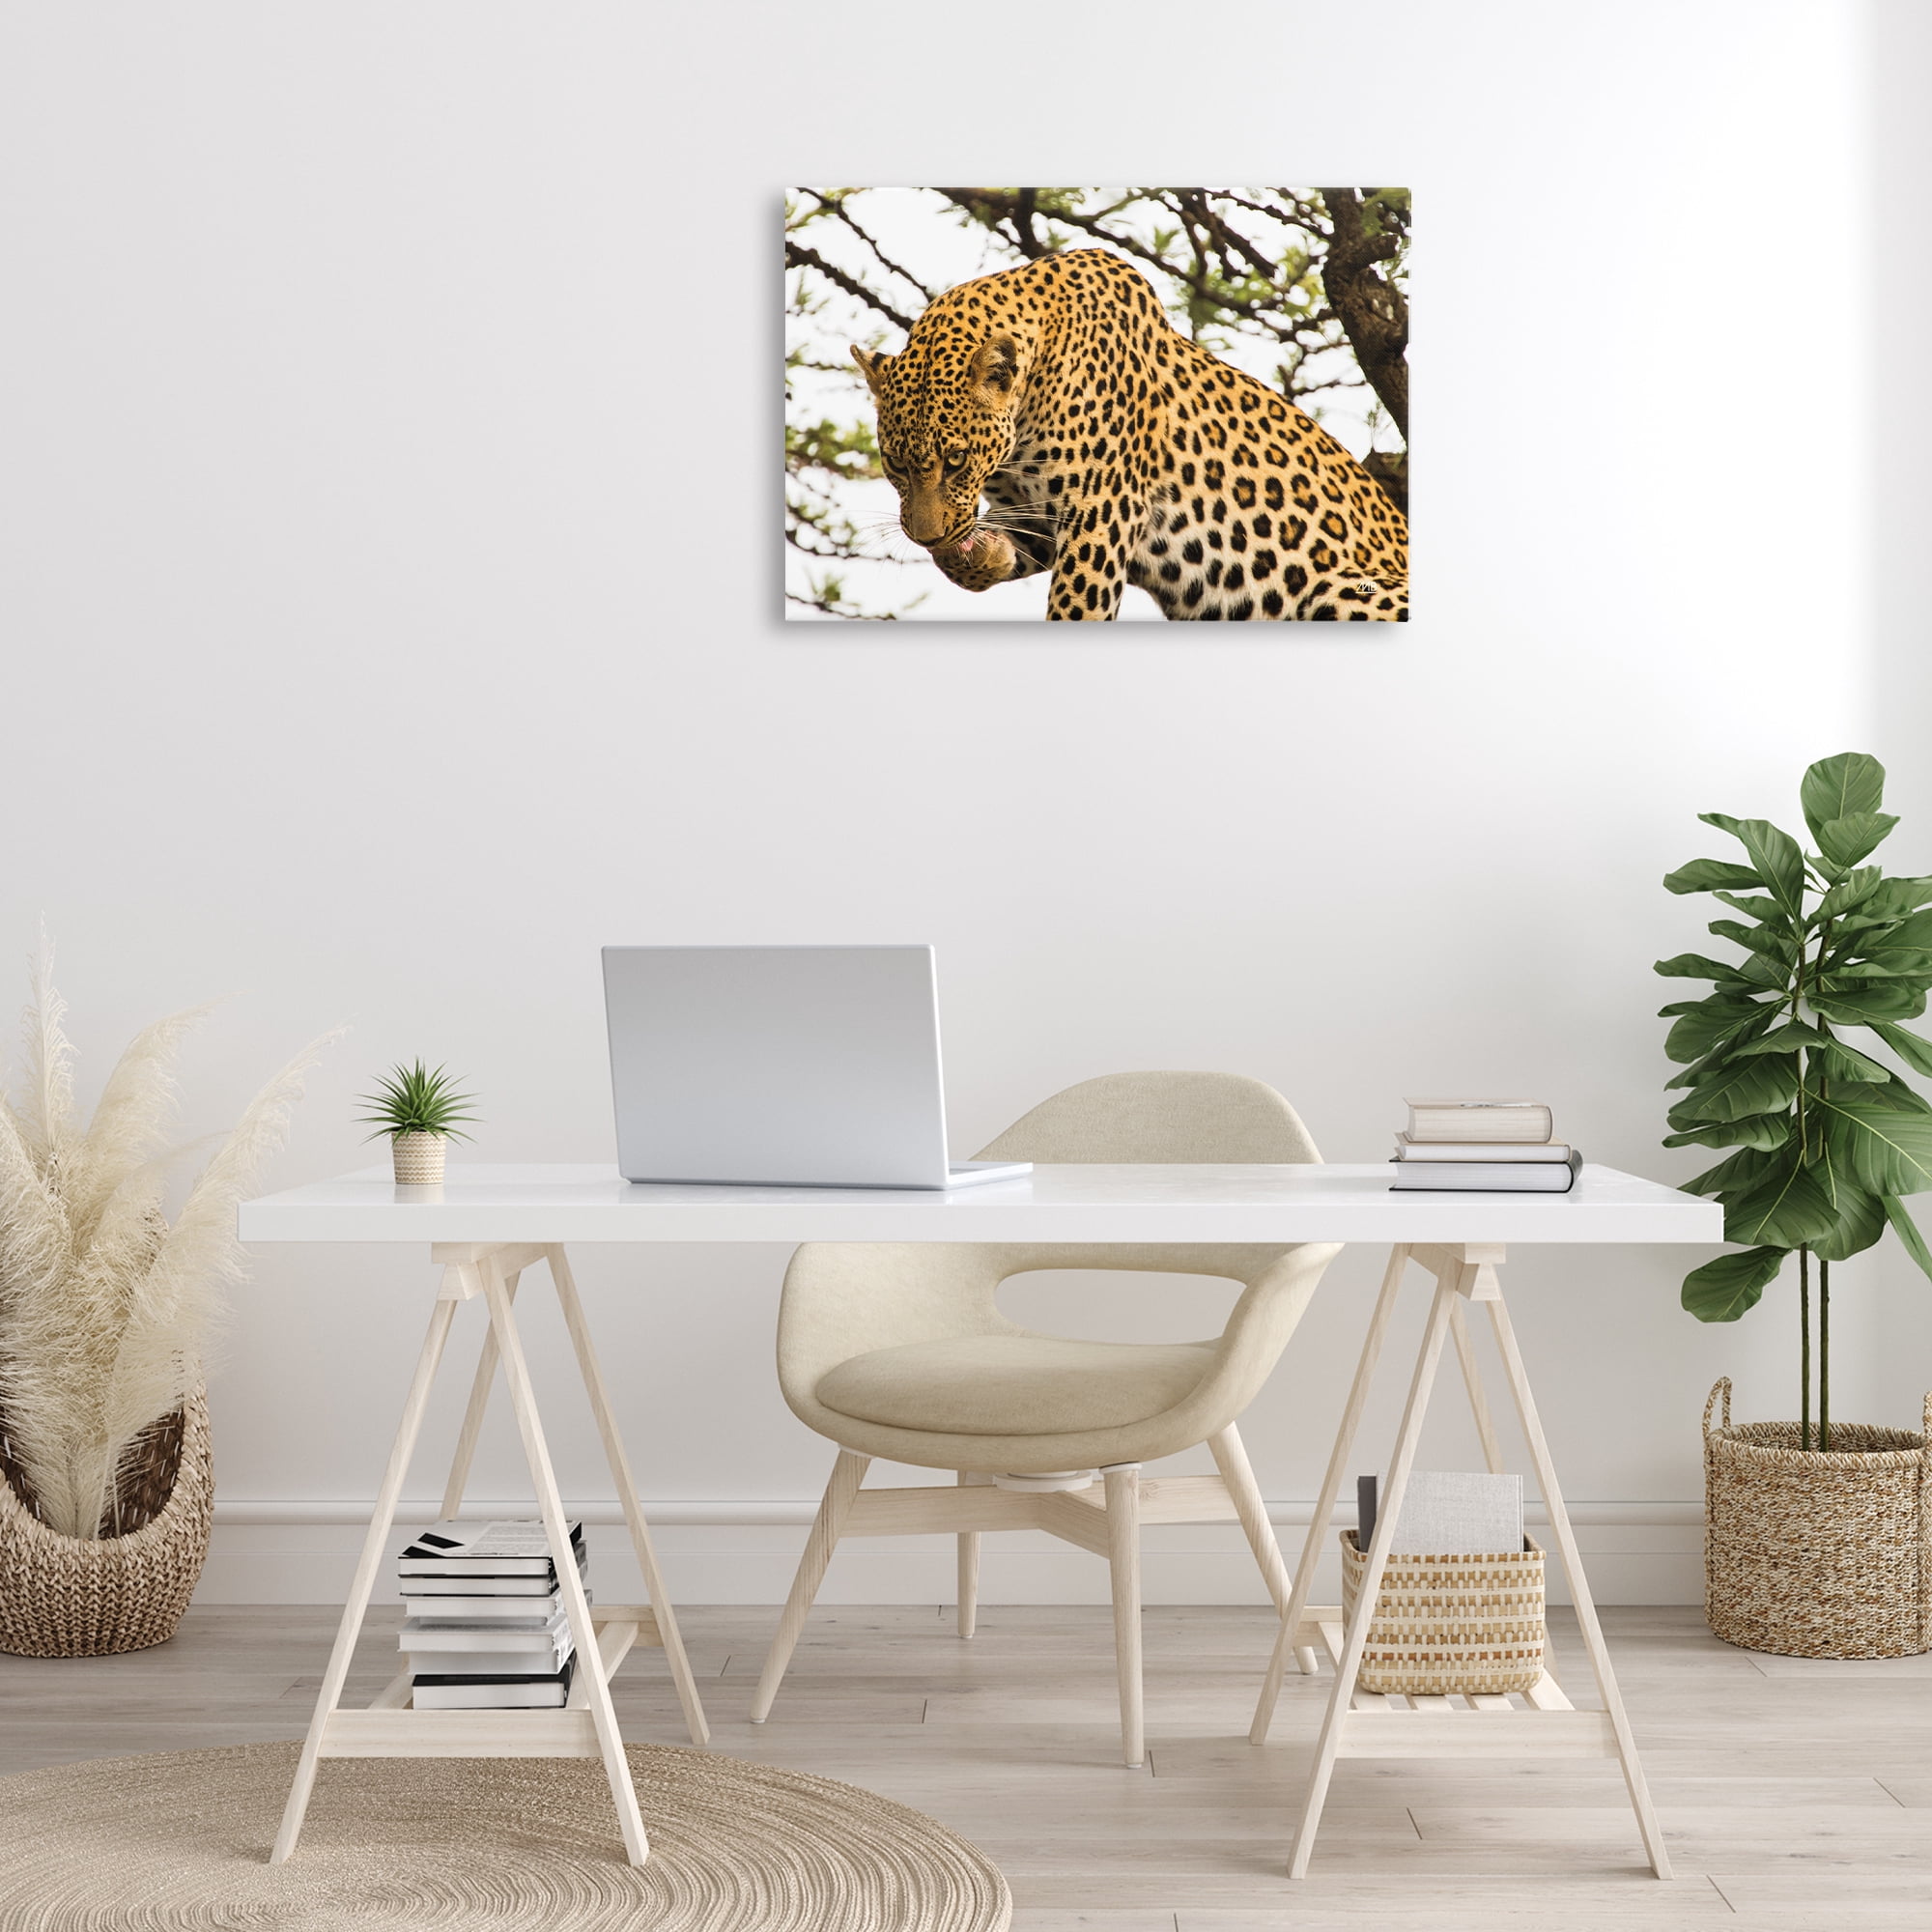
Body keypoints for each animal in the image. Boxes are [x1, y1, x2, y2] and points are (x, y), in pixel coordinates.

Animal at [853, 248, 1407, 622]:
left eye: (957, 460)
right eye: (895, 464)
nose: (927, 537)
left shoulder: (1100, 512)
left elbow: (1078, 608)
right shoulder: (1038, 514)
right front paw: (980, 554)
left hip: (1348, 590)